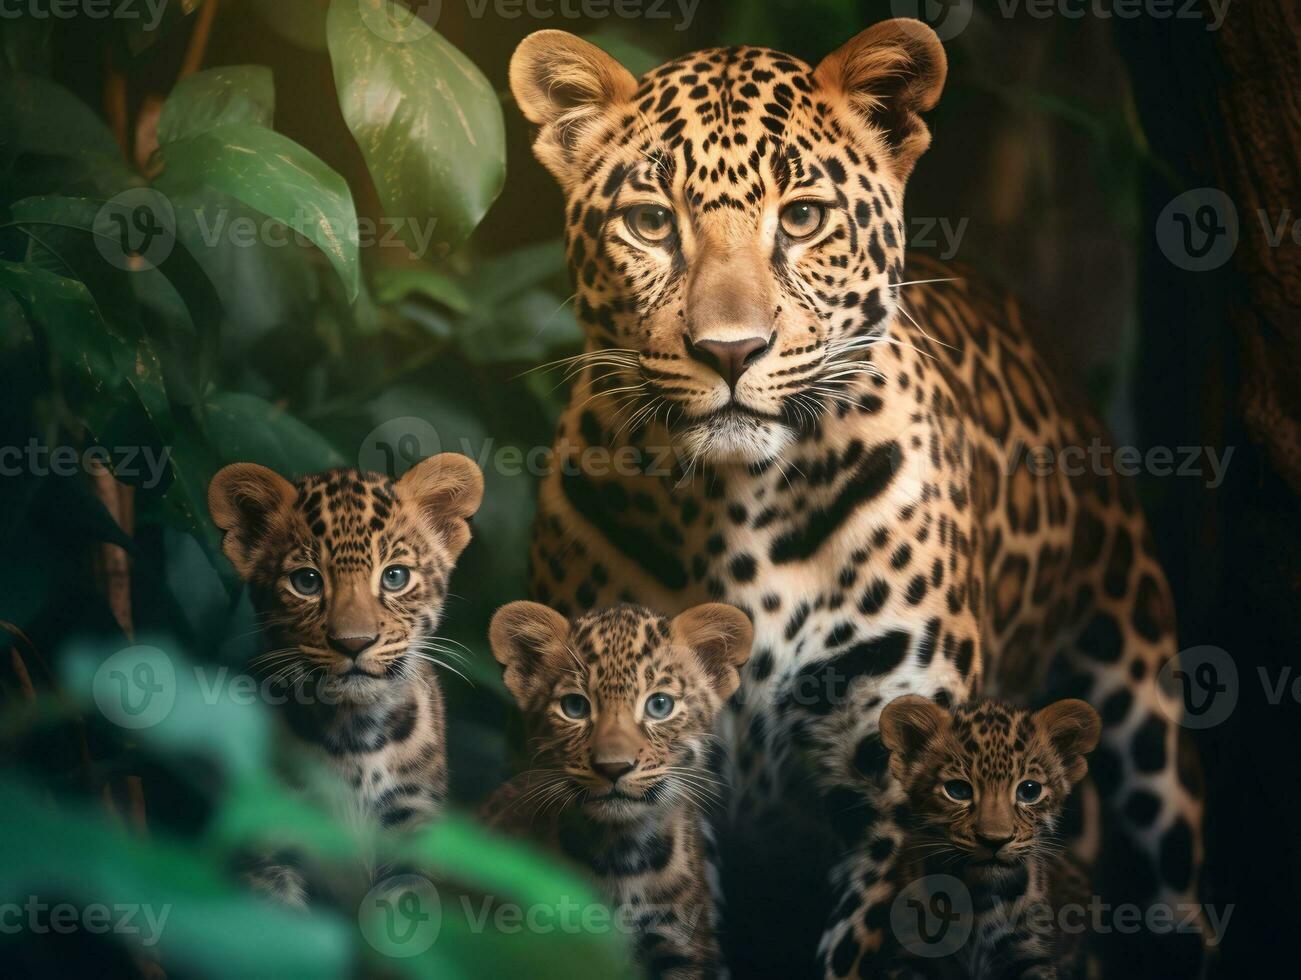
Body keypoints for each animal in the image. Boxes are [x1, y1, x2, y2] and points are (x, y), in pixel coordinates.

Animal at [512, 19, 1202, 973]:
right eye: (651, 223)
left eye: (802, 218)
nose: (730, 350)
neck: (738, 504)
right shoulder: (621, 767)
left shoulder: (906, 782)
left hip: (1143, 715)